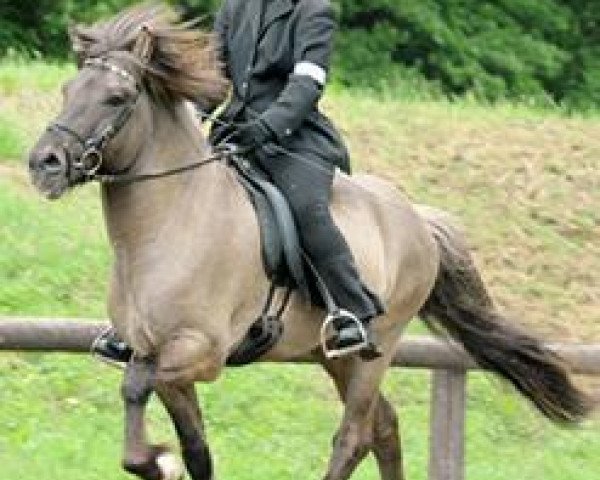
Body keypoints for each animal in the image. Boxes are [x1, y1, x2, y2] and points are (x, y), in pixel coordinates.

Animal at [27, 4, 592, 480]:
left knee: (355, 433)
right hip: (334, 355)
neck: (169, 225)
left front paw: (157, 459)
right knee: (384, 427)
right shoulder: (153, 354)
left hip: (377, 344)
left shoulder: (199, 352)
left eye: (117, 99)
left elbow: (138, 386)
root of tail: (416, 216)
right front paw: (159, 460)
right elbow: (189, 444)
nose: (44, 164)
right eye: (68, 90)